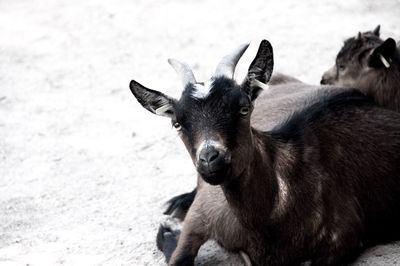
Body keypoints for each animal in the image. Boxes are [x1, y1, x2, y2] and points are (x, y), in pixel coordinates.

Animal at [130, 40, 400, 264]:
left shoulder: (344, 237)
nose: (210, 160)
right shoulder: (201, 214)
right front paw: (169, 227)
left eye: (243, 108)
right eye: (177, 123)